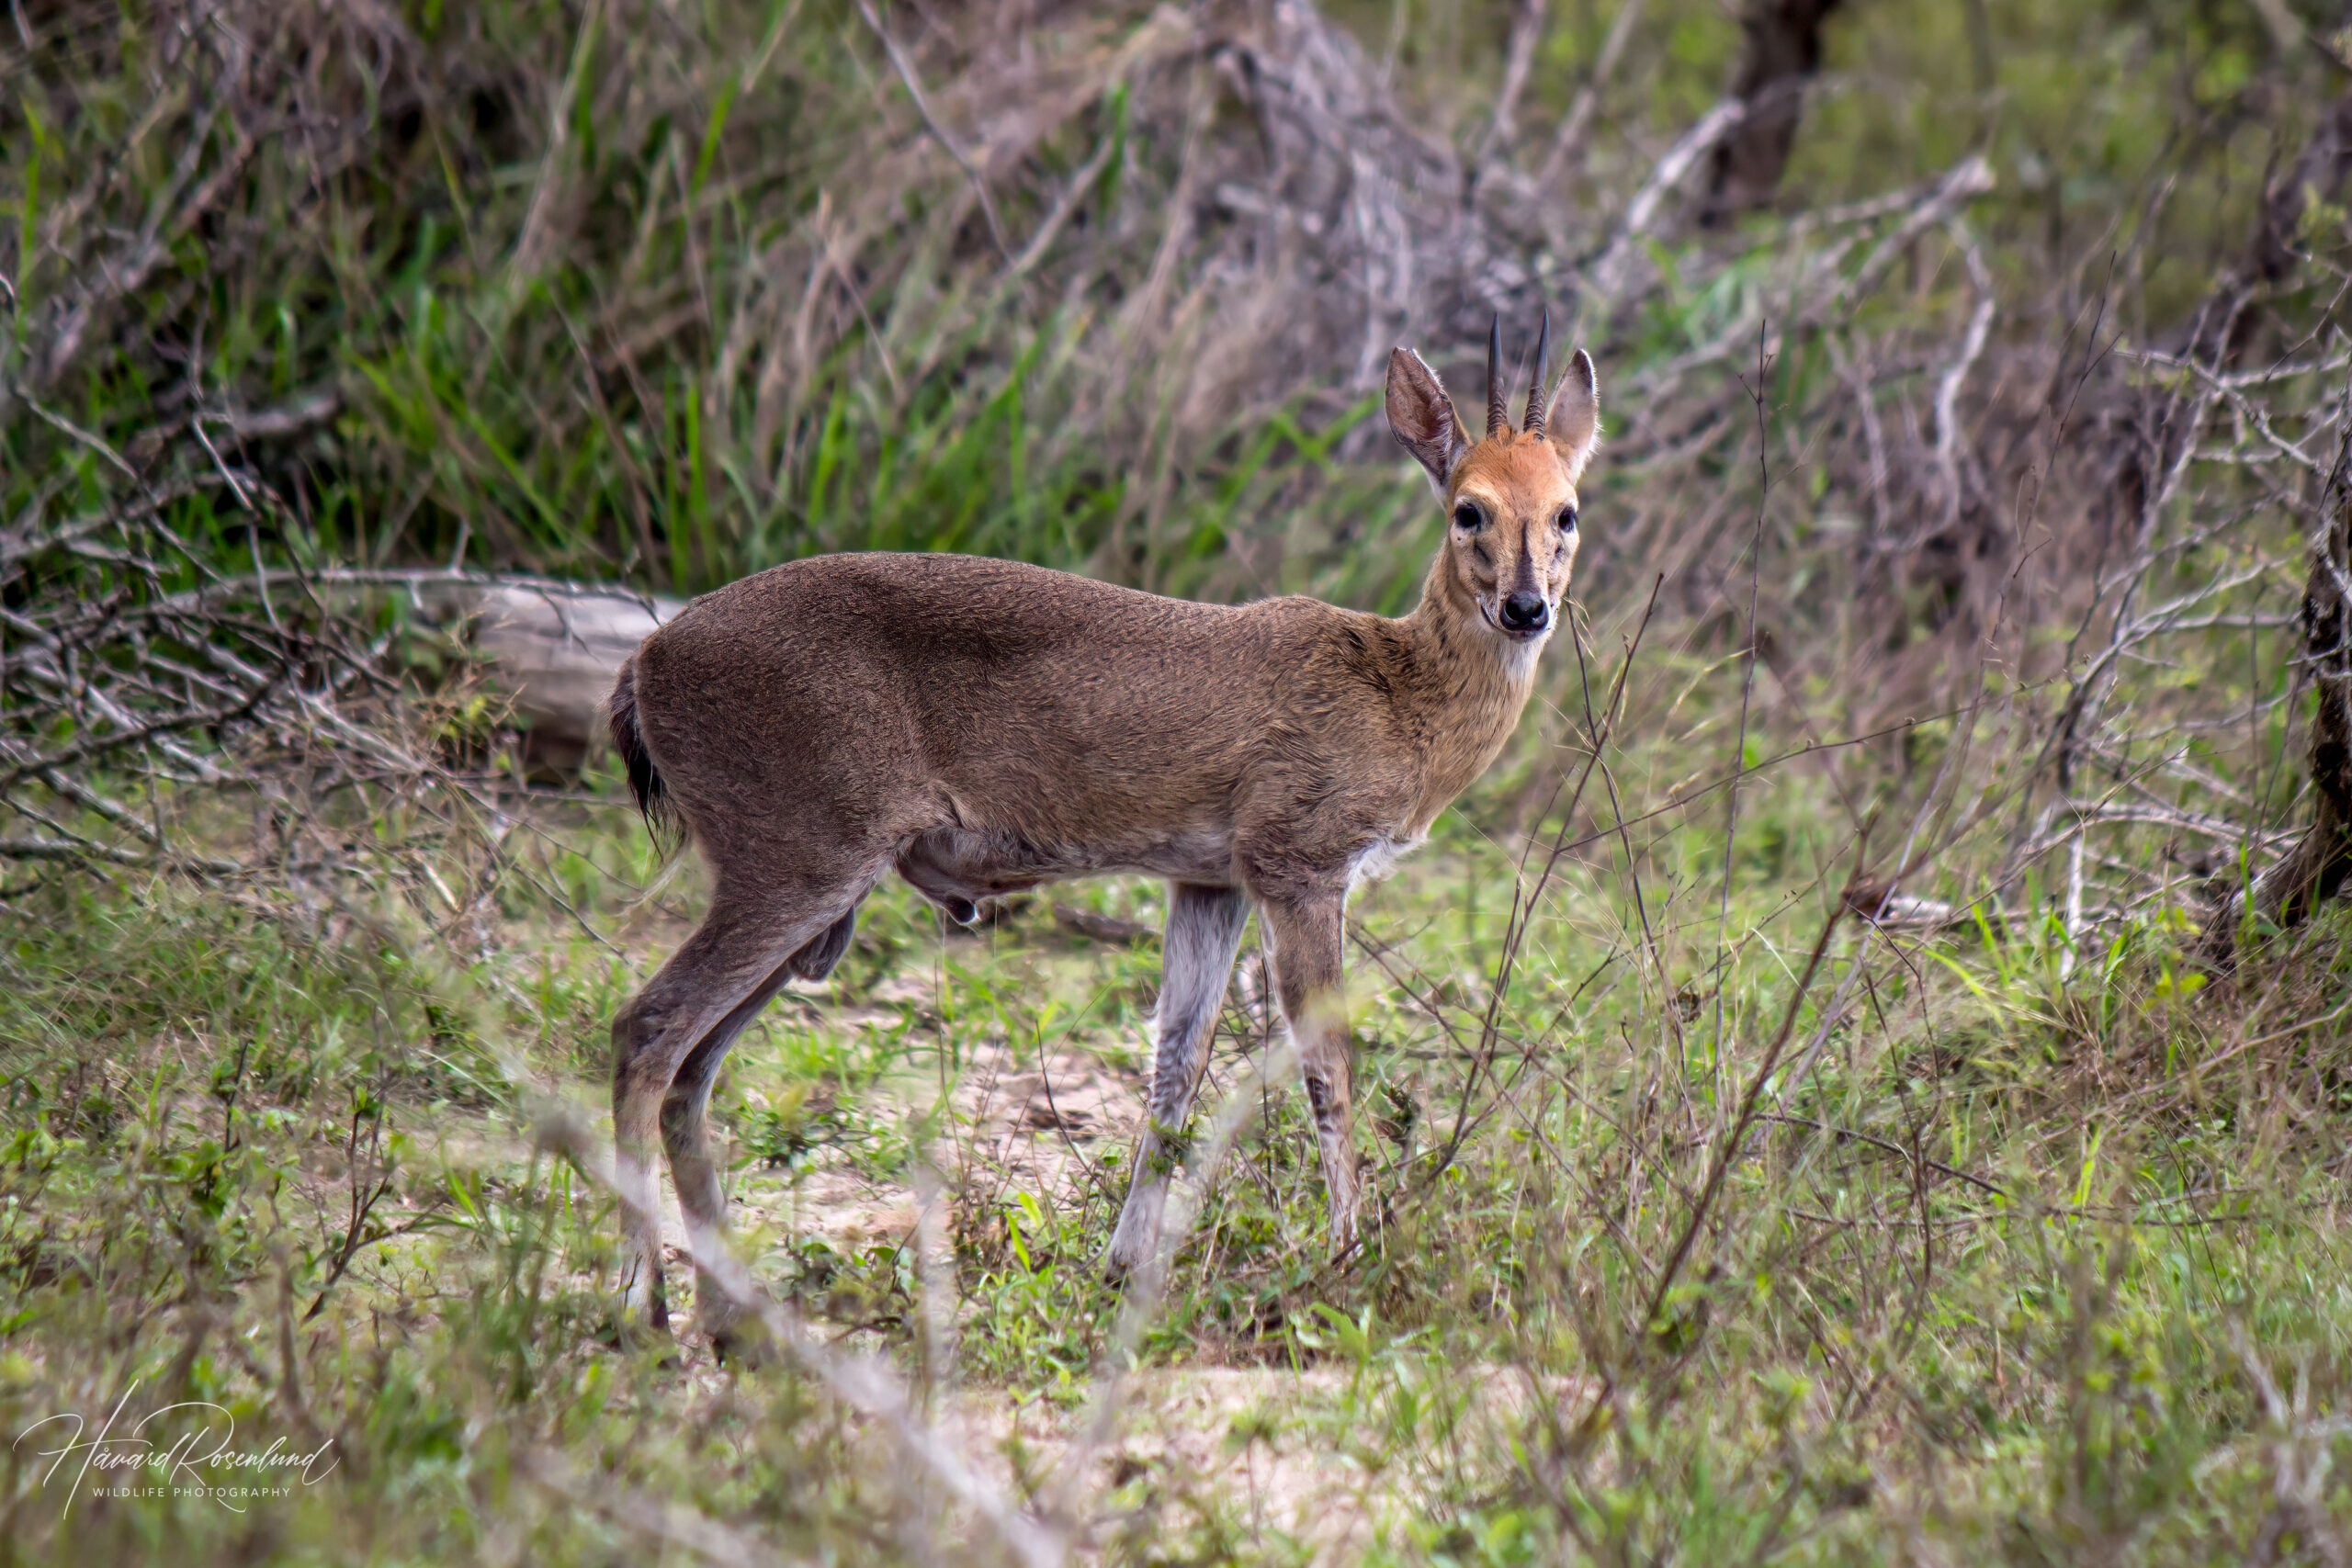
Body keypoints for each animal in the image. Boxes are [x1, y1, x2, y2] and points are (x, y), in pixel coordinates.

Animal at [606, 320, 1599, 1354]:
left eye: (1566, 511)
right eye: (1469, 510)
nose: (1527, 607)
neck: (1401, 699)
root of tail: (644, 666)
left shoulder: (1212, 879)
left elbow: (1175, 1068)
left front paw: (1124, 1270)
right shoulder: (1298, 859)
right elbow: (1326, 1065)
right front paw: (1348, 1255)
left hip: (809, 893)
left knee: (690, 1069)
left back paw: (728, 1317)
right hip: (797, 853)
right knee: (647, 1025)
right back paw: (641, 1306)